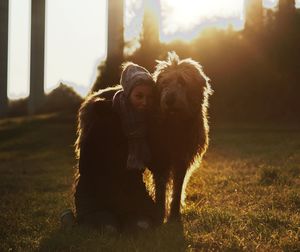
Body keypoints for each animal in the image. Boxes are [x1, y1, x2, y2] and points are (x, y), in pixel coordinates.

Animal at [149, 51, 212, 222]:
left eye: (182, 82)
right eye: (164, 83)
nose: (169, 100)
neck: (174, 125)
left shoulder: (182, 157)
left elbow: (178, 185)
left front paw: (174, 214)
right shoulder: (160, 157)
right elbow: (161, 186)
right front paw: (159, 213)